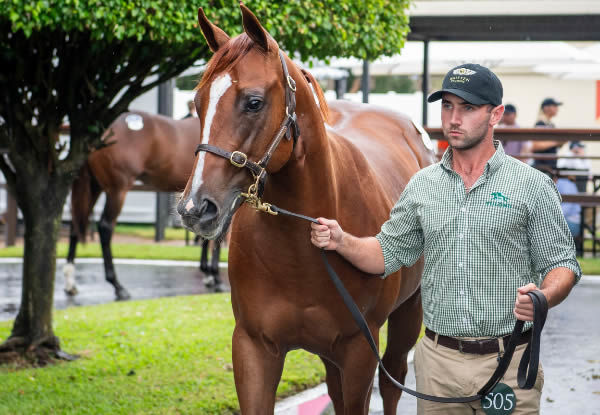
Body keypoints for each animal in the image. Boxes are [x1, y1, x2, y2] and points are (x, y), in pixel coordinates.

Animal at [64, 111, 226, 302]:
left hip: (94, 186)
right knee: (105, 227)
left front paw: (208, 275)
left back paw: (70, 284)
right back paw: (118, 286)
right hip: (117, 190)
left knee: (75, 225)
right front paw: (215, 277)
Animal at [178, 4, 436, 415]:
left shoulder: (359, 351)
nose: (195, 207)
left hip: (407, 316)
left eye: (253, 101)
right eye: (199, 102)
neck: (300, 251)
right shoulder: (253, 348)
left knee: (393, 380)